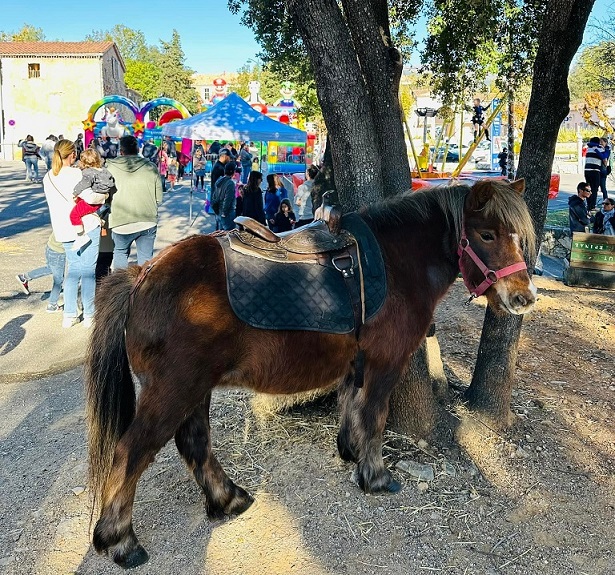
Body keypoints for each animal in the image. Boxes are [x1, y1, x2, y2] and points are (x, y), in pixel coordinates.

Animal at [86, 179, 540, 568]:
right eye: (487, 235)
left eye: (518, 237)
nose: (523, 297)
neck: (395, 262)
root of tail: (141, 276)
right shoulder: (385, 363)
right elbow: (374, 416)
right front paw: (375, 476)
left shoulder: (355, 365)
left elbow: (351, 409)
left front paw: (351, 452)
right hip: (173, 390)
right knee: (129, 454)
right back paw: (120, 541)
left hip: (194, 389)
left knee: (194, 444)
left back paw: (228, 499)